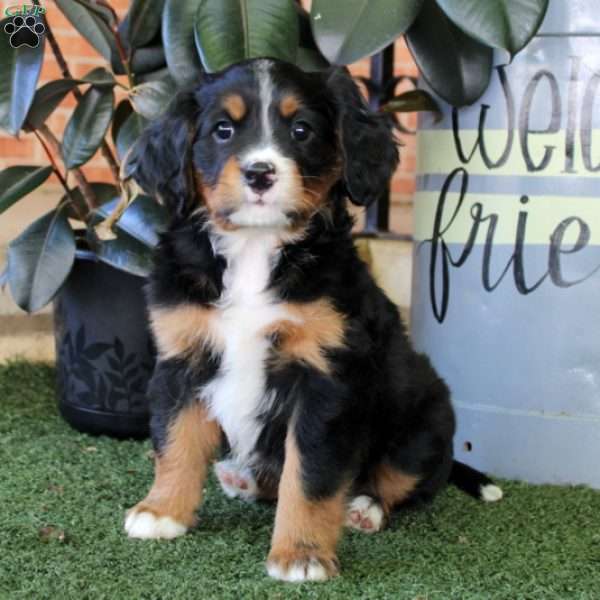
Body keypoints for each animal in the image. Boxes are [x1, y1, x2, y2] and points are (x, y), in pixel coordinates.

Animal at [123, 56, 502, 580]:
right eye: (223, 130)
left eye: (301, 130)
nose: (260, 173)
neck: (256, 249)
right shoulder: (182, 356)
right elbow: (174, 441)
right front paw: (161, 512)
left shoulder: (323, 380)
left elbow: (310, 476)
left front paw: (300, 554)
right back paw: (242, 478)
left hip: (425, 420)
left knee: (404, 481)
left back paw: (364, 508)